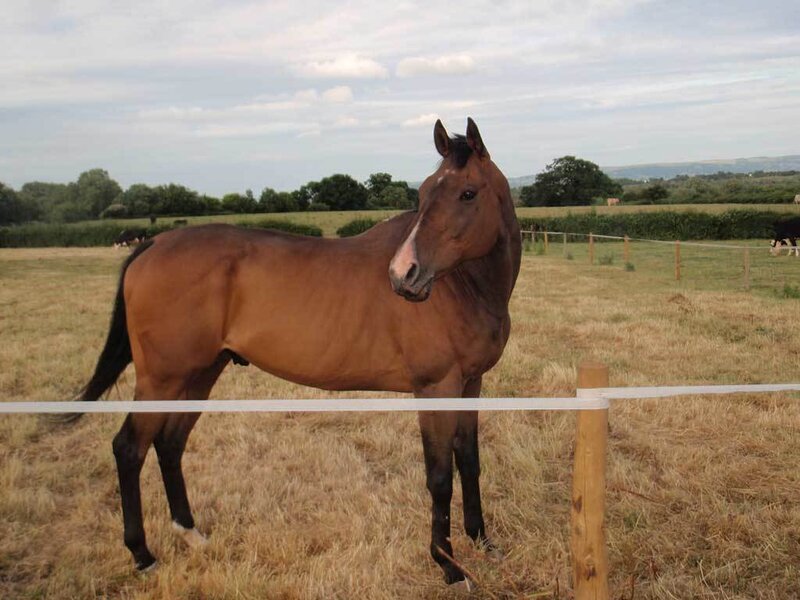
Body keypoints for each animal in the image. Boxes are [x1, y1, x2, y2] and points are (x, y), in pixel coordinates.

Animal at [75, 118, 521, 587]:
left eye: (467, 193)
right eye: (423, 194)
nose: (404, 275)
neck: (465, 287)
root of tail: (153, 244)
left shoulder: (470, 384)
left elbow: (468, 461)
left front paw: (484, 542)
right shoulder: (436, 387)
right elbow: (439, 476)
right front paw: (448, 565)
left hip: (199, 374)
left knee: (170, 443)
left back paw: (191, 533)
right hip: (162, 379)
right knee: (129, 448)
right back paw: (142, 554)